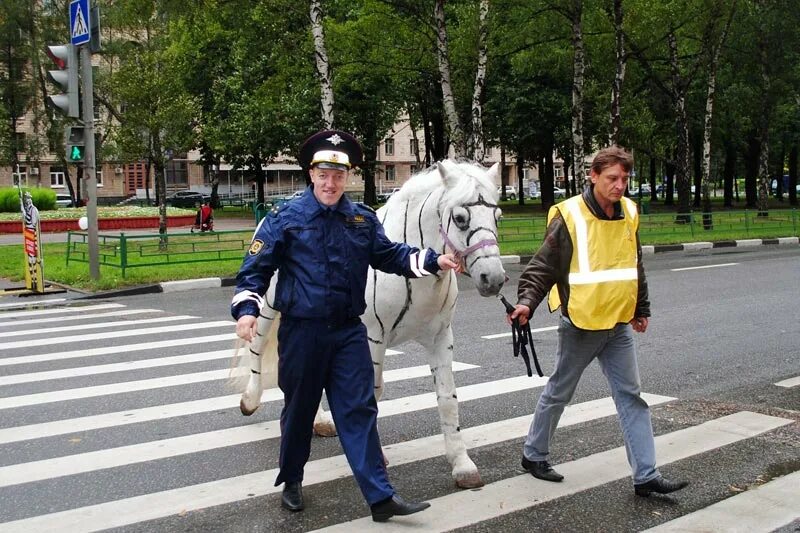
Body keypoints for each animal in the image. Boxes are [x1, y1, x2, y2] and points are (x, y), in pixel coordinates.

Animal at [231, 160, 504, 488]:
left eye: (498, 217)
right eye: (461, 218)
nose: (494, 279)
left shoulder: (440, 338)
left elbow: (447, 398)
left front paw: (462, 465)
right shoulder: (373, 339)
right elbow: (371, 395)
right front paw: (376, 457)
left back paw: (319, 420)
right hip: (267, 308)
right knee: (257, 348)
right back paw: (250, 400)